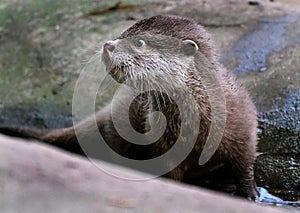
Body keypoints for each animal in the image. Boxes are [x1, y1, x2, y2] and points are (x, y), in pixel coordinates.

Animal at [0, 15, 258, 200]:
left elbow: (245, 168)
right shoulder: (165, 149)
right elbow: (170, 178)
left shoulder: (244, 131)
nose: (108, 44)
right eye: (122, 34)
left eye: (139, 41)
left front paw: (252, 195)